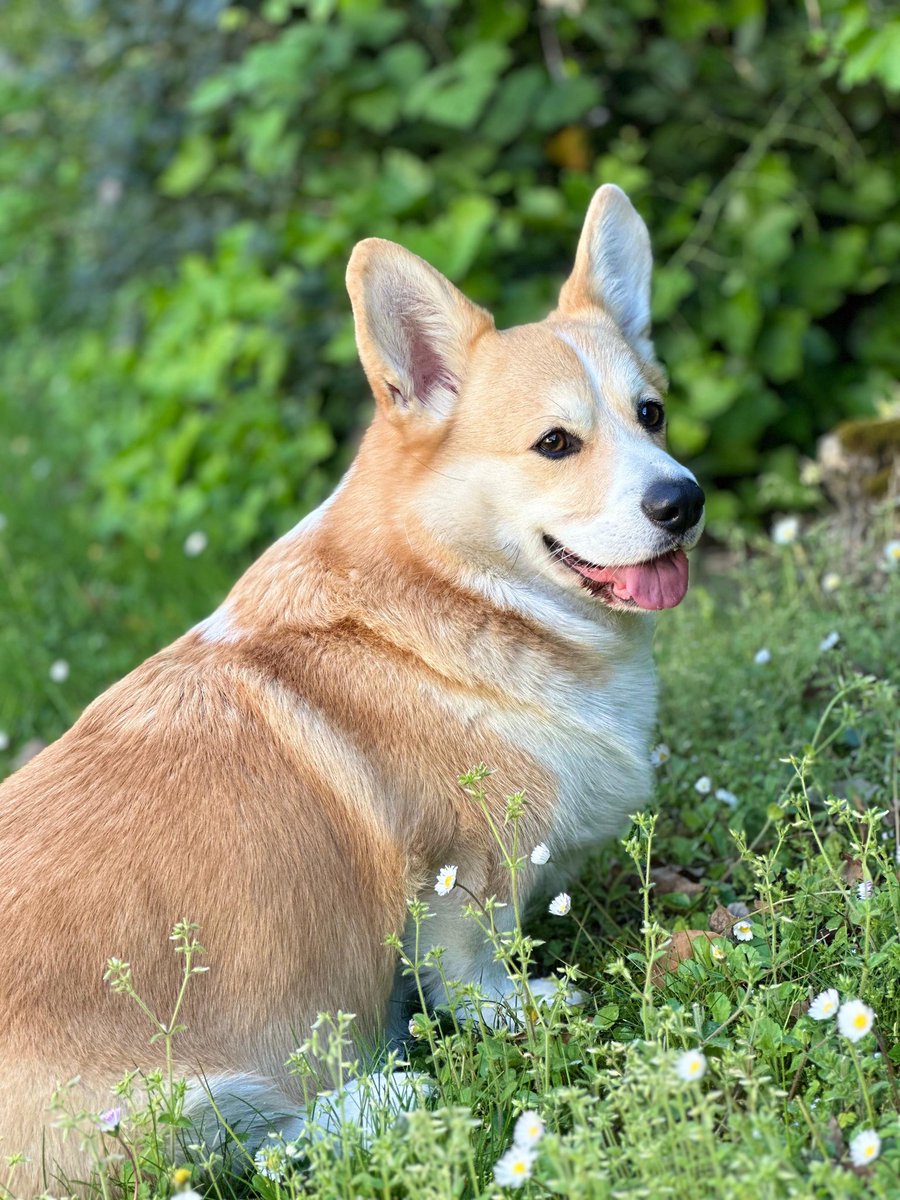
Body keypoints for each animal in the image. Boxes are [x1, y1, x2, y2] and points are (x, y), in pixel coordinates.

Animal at [0, 187, 705, 1190]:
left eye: (653, 414)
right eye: (555, 444)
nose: (683, 502)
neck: (444, 592)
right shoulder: (459, 876)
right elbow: (474, 974)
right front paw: (525, 1009)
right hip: (168, 1102)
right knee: (266, 1141)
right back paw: (389, 1094)